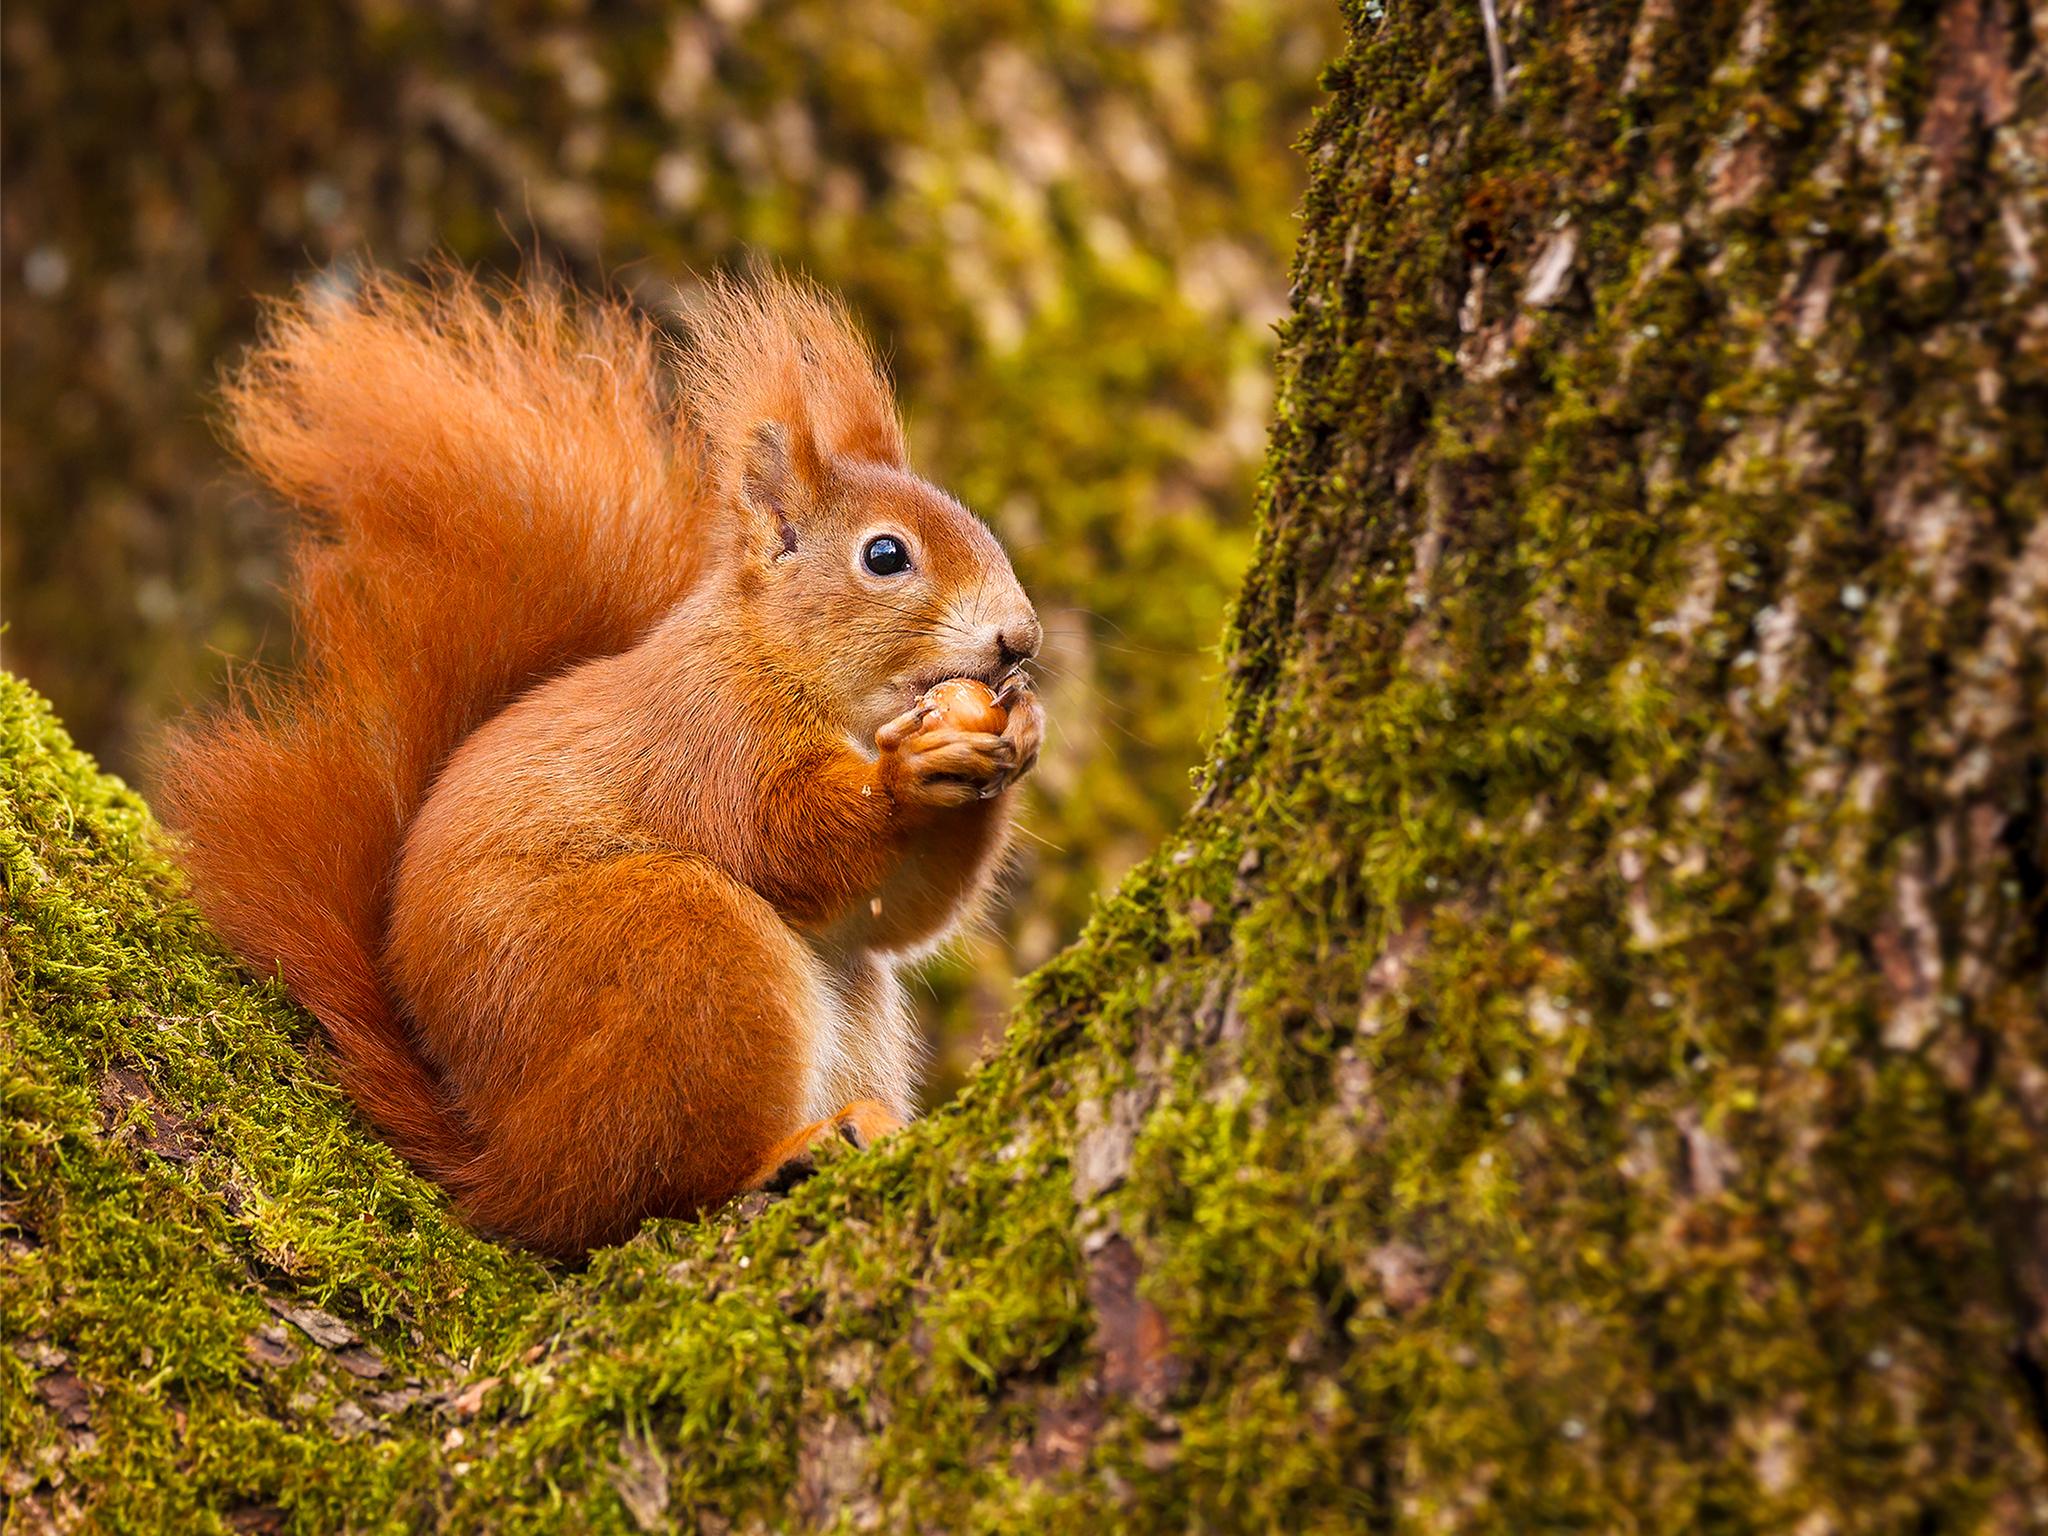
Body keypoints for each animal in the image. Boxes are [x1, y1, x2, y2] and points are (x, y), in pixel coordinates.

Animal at [157, 270, 1044, 1256]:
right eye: (885, 555)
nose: (1020, 639)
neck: (784, 663)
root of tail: (499, 1164)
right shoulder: (711, 738)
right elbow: (784, 839)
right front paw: (907, 774)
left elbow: (900, 912)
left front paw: (1018, 734)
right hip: (681, 953)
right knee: (642, 1193)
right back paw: (785, 1153)